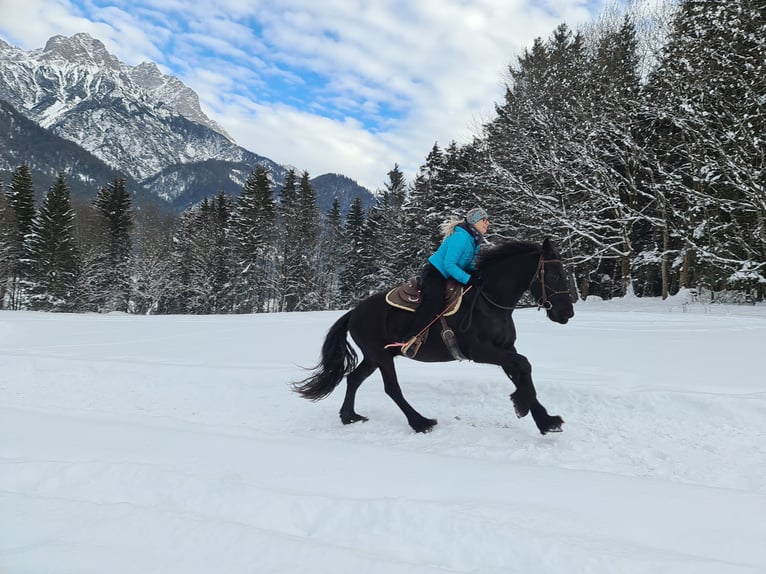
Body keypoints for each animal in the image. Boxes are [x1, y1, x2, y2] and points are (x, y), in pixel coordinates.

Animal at [292, 237, 575, 435]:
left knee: (353, 379)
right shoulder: (482, 351)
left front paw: (545, 420)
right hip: (381, 357)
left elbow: (522, 372)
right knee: (391, 388)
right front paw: (523, 405)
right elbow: (524, 366)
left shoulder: (505, 350)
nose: (567, 313)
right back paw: (420, 422)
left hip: (373, 357)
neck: (489, 302)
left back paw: (349, 416)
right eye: (554, 274)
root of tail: (353, 312)